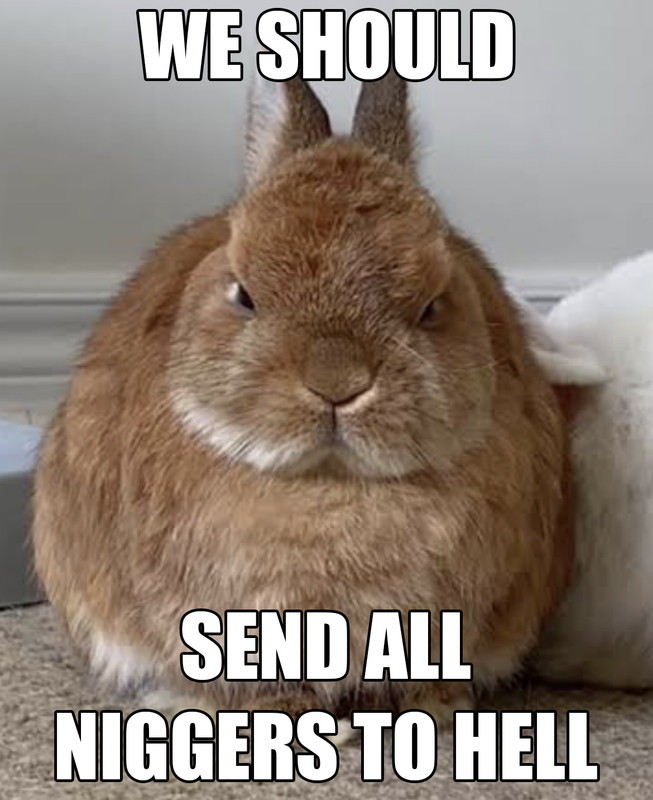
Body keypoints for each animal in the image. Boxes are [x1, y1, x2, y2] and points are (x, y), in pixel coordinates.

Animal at [32, 73, 572, 725]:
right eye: (243, 295)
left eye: (432, 306)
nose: (337, 381)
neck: (331, 486)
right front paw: (288, 718)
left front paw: (426, 708)